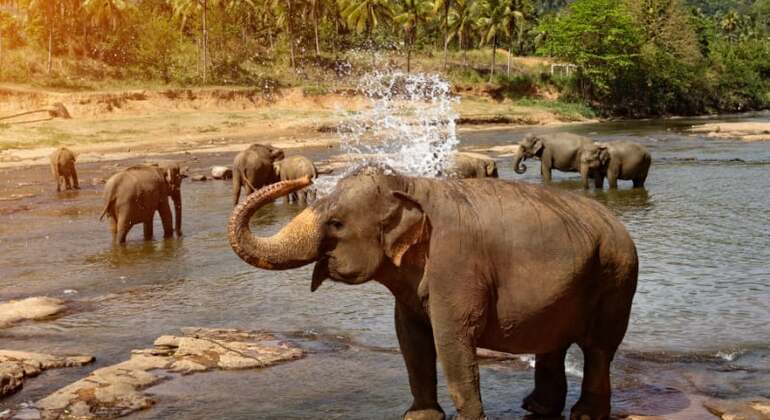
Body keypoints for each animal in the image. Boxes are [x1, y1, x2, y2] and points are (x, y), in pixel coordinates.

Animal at [226, 167, 636, 420]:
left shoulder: (456, 263)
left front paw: (468, 418)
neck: (408, 184)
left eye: (337, 223)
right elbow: (410, 338)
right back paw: (536, 407)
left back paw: (584, 414)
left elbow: (451, 337)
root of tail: (618, 225)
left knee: (598, 348)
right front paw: (419, 416)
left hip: (616, 277)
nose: (306, 175)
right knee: (553, 343)